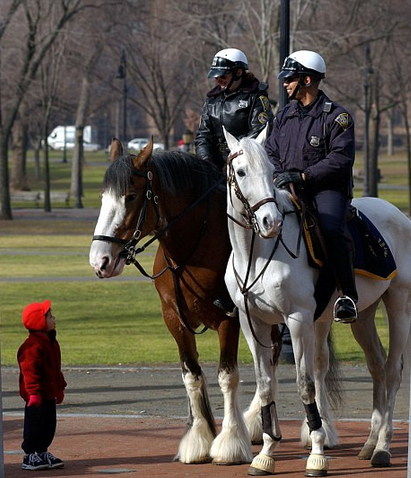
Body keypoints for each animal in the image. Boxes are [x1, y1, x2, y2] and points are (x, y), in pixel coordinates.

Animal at [89, 138, 258, 464]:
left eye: (130, 196)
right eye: (103, 197)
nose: (100, 261)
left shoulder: (229, 319)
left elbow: (227, 376)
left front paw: (230, 442)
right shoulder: (174, 320)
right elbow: (192, 376)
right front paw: (199, 439)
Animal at [224, 129, 411, 476]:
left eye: (271, 171)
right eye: (241, 172)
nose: (270, 221)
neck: (258, 255)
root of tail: (396, 213)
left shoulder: (297, 320)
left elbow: (305, 383)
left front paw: (317, 455)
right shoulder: (253, 322)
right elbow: (266, 385)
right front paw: (265, 455)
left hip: (399, 303)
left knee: (393, 371)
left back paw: (382, 447)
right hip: (363, 315)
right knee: (377, 367)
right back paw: (369, 443)